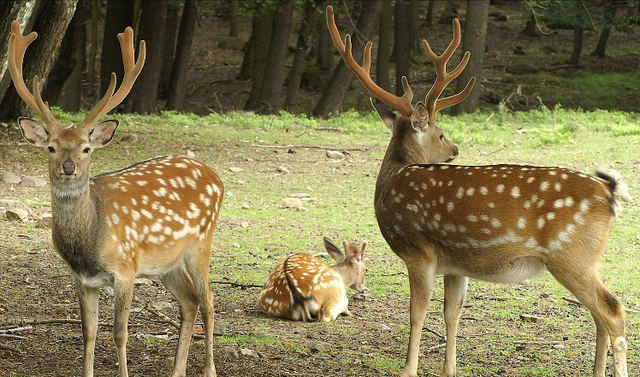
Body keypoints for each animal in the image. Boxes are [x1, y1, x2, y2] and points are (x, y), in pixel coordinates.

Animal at [6, 21, 222, 376]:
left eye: (86, 148)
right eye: (51, 147)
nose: (68, 167)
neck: (91, 239)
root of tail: (215, 175)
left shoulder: (126, 269)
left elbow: (120, 333)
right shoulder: (83, 279)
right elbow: (89, 332)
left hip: (201, 243)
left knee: (209, 302)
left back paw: (209, 370)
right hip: (167, 264)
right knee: (189, 302)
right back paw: (176, 370)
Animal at [328, 5, 628, 376]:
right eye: (442, 134)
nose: (454, 149)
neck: (392, 181)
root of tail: (609, 191)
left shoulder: (418, 250)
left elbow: (416, 314)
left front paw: (408, 369)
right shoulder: (456, 264)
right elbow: (452, 314)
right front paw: (449, 369)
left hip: (570, 254)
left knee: (612, 310)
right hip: (587, 258)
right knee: (599, 314)